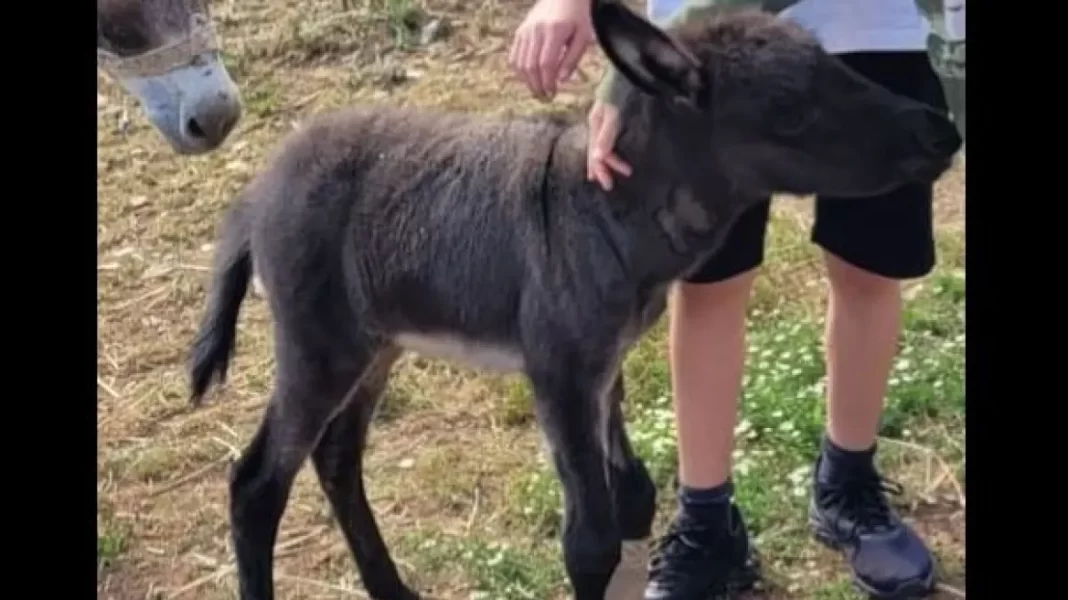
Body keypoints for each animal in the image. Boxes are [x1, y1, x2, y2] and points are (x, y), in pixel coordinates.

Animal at [183, 2, 961, 593]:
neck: (604, 207)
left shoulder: (602, 363)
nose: (943, 132)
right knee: (256, 485)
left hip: (376, 342)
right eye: (789, 111)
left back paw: (391, 588)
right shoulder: (557, 370)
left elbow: (633, 499)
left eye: (842, 66)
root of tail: (255, 193)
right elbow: (589, 542)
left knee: (337, 457)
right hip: (319, 343)